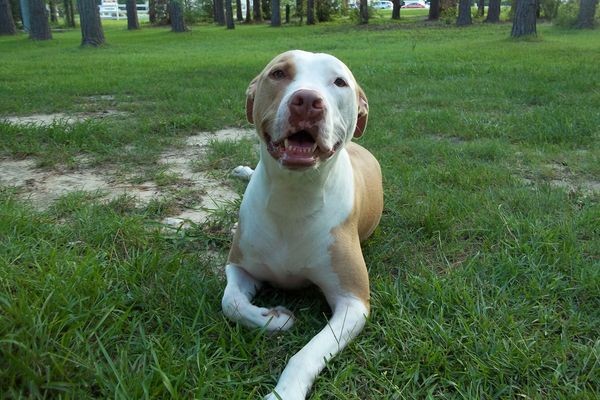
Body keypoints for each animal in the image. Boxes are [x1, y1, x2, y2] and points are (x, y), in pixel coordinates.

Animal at [221, 50, 384, 400]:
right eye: (278, 74)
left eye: (339, 81)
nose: (308, 101)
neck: (293, 197)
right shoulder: (239, 266)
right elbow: (231, 302)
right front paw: (274, 319)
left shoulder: (353, 302)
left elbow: (306, 354)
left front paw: (284, 393)